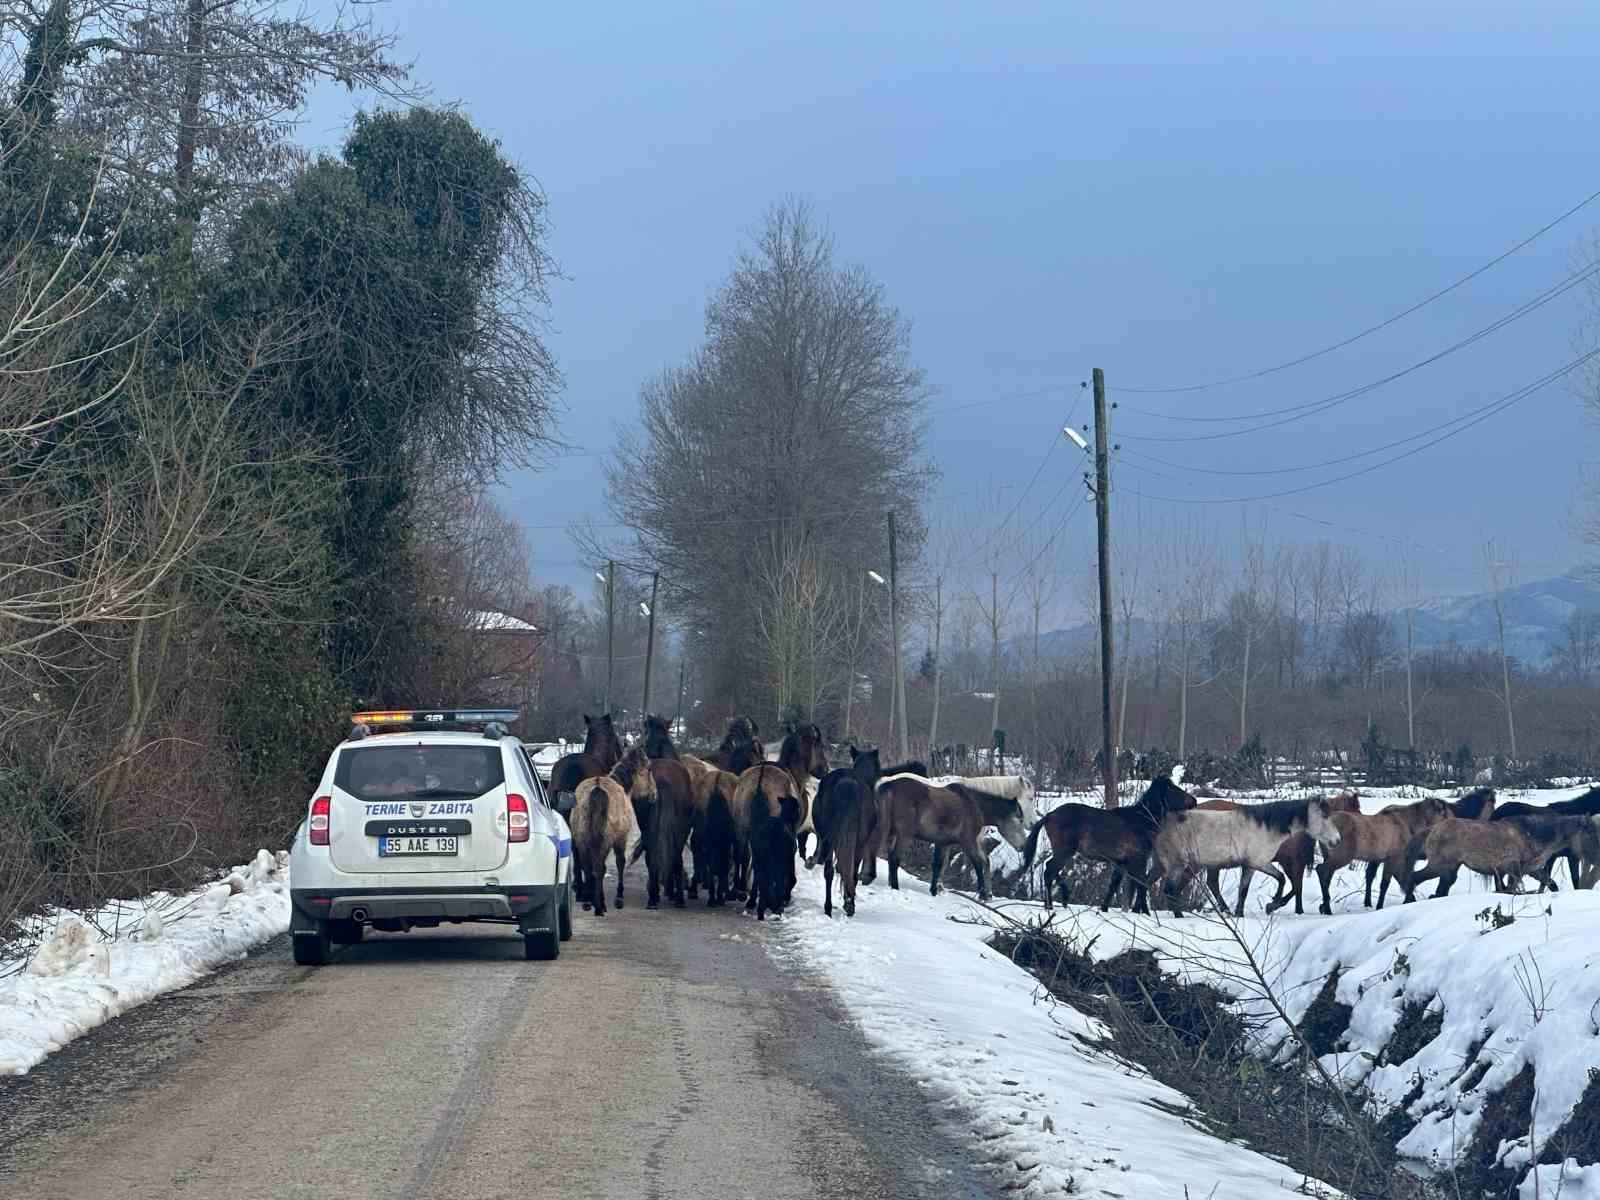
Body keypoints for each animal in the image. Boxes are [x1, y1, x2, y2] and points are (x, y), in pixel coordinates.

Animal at [883, 780, 1030, 902]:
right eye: (1020, 820)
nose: (1024, 845)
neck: (975, 805)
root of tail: (890, 787)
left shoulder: (943, 843)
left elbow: (938, 865)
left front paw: (934, 891)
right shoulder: (967, 841)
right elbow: (977, 864)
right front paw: (982, 894)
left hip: (892, 834)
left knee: (890, 857)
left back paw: (890, 884)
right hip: (904, 836)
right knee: (895, 858)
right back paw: (895, 887)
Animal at [1024, 774, 1203, 915]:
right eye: (1172, 789)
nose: (1194, 801)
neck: (1141, 820)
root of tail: (1050, 815)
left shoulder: (1120, 863)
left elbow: (1113, 885)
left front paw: (1104, 909)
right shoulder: (1138, 859)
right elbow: (1140, 885)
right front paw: (1145, 912)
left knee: (1052, 870)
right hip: (1064, 851)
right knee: (1049, 870)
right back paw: (1050, 905)